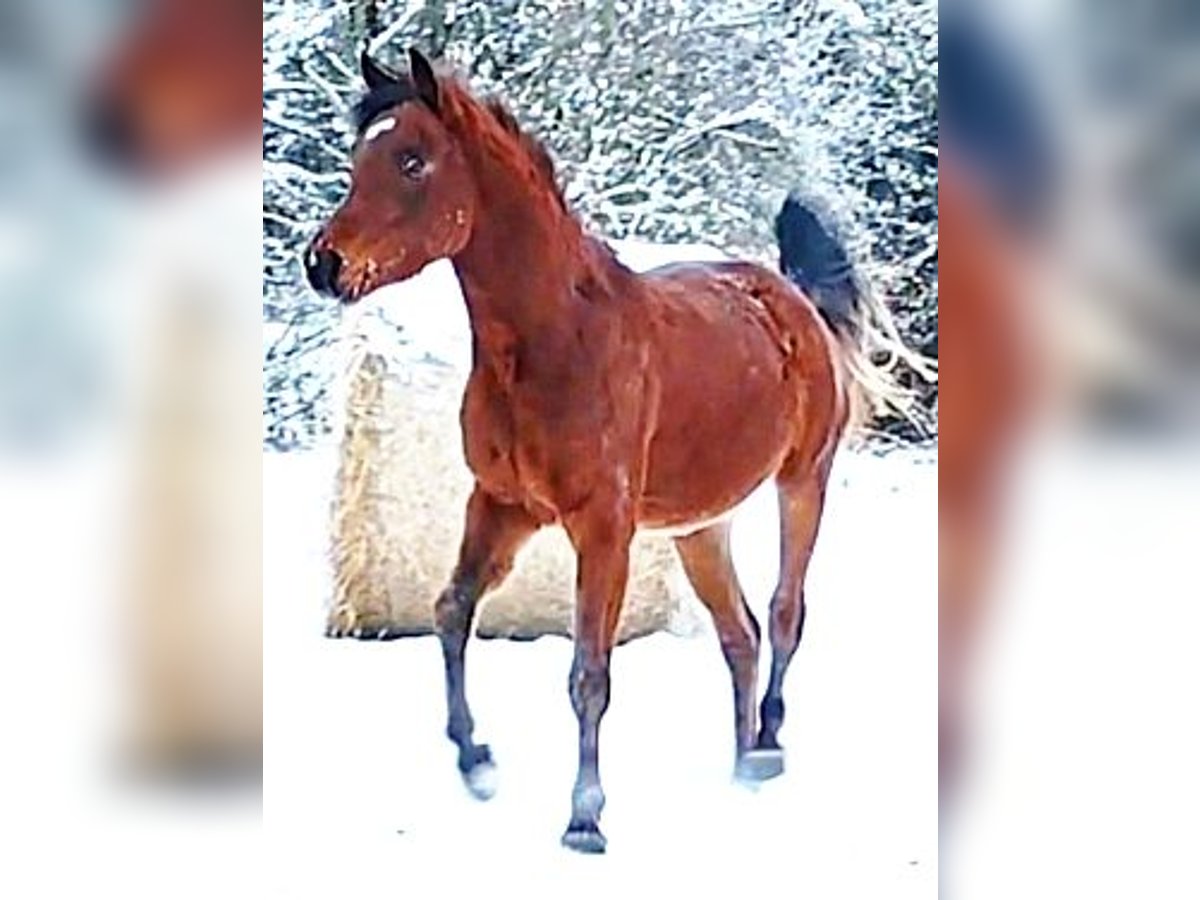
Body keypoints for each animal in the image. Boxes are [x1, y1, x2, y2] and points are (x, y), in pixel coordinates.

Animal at [306, 48, 892, 853]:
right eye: (358, 156)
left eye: (412, 160)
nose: (323, 264)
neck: (552, 343)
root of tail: (790, 298)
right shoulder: (502, 504)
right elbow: (452, 610)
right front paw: (476, 761)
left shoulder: (603, 527)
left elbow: (589, 672)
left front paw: (585, 815)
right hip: (698, 527)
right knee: (737, 633)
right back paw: (742, 761)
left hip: (804, 482)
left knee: (782, 613)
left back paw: (768, 745)